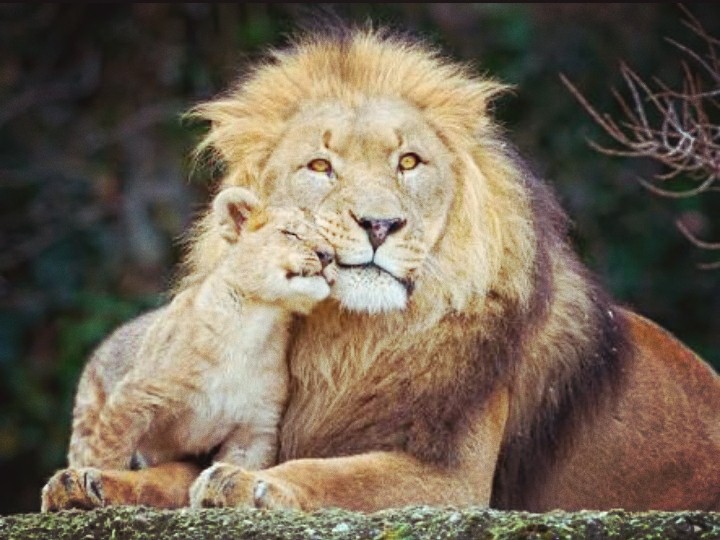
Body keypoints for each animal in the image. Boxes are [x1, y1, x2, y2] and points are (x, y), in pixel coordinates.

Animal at [41, 187, 336, 511]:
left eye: (328, 240)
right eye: (290, 233)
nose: (328, 256)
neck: (257, 324)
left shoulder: (255, 428)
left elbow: (236, 466)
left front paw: (223, 489)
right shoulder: (134, 396)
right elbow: (109, 453)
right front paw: (91, 481)